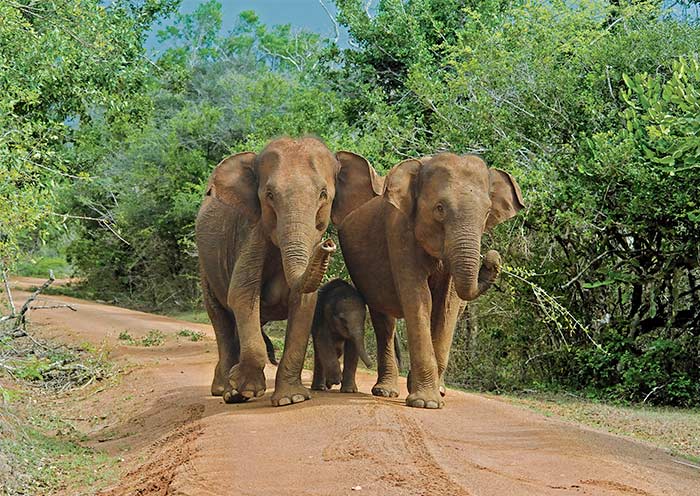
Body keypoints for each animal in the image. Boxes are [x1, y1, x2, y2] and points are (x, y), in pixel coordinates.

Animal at [195, 137, 379, 406]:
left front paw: (290, 399)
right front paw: (245, 390)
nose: (328, 244)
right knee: (221, 319)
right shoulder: (252, 234)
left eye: (323, 194)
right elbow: (242, 295)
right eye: (269, 195)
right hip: (205, 268)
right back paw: (226, 392)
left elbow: (303, 303)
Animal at [336, 152, 524, 409]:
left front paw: (428, 395)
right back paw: (386, 391)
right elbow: (420, 299)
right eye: (440, 208)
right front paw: (426, 403)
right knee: (384, 321)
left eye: (487, 213)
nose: (491, 258)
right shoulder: (399, 231)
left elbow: (446, 306)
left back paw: (437, 389)